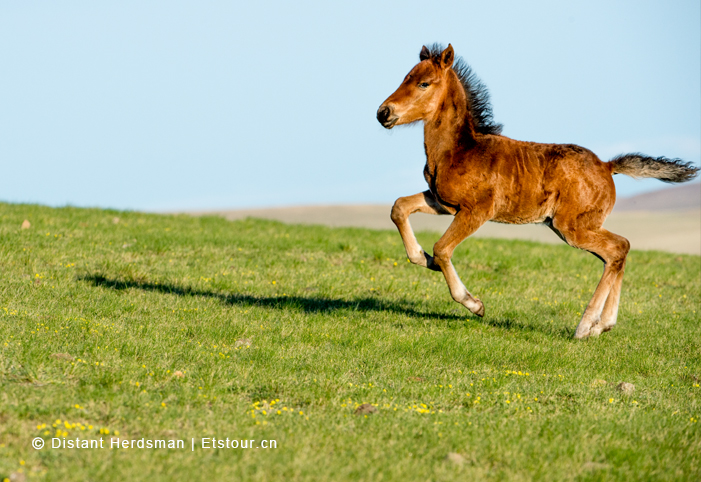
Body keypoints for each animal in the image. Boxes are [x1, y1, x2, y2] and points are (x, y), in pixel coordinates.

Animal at [380, 45, 696, 338]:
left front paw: (474, 304)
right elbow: (399, 207)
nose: (383, 112)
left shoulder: (477, 211)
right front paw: (423, 259)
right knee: (618, 252)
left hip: (573, 227)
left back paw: (584, 327)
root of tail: (607, 166)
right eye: (405, 77)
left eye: (424, 83)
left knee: (618, 248)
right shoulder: (443, 202)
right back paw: (601, 326)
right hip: (572, 226)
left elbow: (442, 248)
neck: (458, 150)